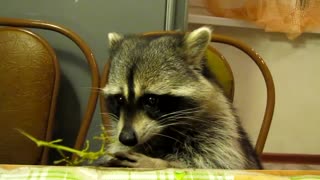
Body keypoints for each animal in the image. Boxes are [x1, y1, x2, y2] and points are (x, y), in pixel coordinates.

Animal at [100, 26, 262, 169]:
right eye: (120, 99)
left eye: (151, 100)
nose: (126, 138)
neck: (163, 132)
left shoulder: (219, 127)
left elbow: (215, 162)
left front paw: (159, 163)